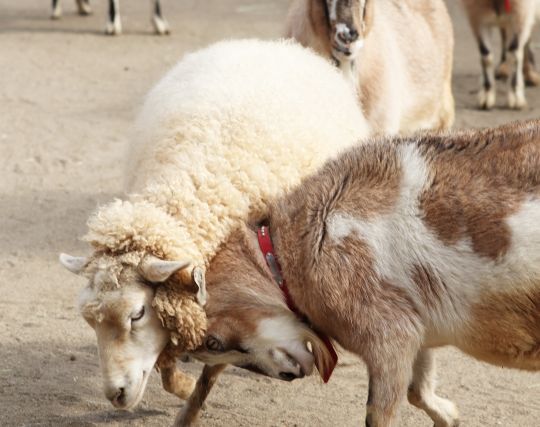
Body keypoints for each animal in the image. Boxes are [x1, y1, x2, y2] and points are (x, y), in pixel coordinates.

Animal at [60, 39, 372, 414]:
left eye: (137, 314)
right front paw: (183, 385)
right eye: (90, 321)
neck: (194, 181)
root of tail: (263, 44)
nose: (116, 394)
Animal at [174, 118, 540, 426]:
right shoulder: (416, 322)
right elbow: (417, 391)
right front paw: (449, 415)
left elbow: (379, 413)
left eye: (213, 341)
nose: (288, 376)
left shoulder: (389, 337)